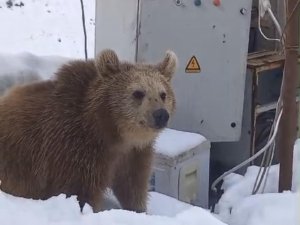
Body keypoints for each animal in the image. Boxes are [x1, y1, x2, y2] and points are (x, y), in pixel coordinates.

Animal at [0, 48, 178, 213]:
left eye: (163, 94)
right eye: (138, 93)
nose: (161, 114)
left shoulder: (133, 154)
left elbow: (132, 186)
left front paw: (139, 209)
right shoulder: (75, 150)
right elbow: (79, 192)